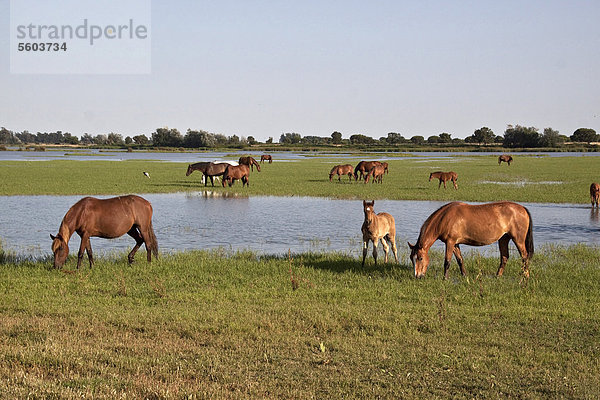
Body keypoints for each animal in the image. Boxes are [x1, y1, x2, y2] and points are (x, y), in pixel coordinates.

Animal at [408, 202, 536, 280]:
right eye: (411, 258)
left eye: (420, 258)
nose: (417, 276)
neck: (445, 218)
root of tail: (523, 209)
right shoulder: (455, 244)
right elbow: (460, 260)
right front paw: (464, 275)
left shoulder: (450, 242)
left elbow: (447, 262)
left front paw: (445, 279)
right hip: (503, 239)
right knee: (504, 257)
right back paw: (497, 276)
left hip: (518, 240)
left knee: (524, 257)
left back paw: (525, 276)